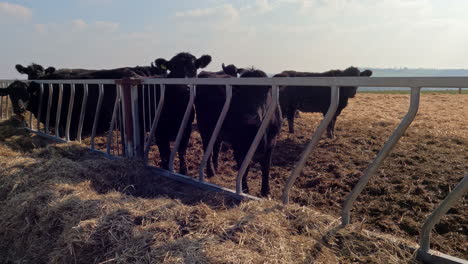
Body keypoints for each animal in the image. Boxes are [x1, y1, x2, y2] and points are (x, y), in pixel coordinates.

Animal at [197, 67, 284, 196]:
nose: (250, 117)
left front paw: (265, 191)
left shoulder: (271, 142)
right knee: (208, 148)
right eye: (241, 93)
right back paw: (210, 171)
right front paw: (244, 190)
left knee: (216, 147)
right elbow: (244, 167)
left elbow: (266, 168)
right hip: (204, 128)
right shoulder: (238, 144)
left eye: (264, 92)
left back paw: (216, 168)